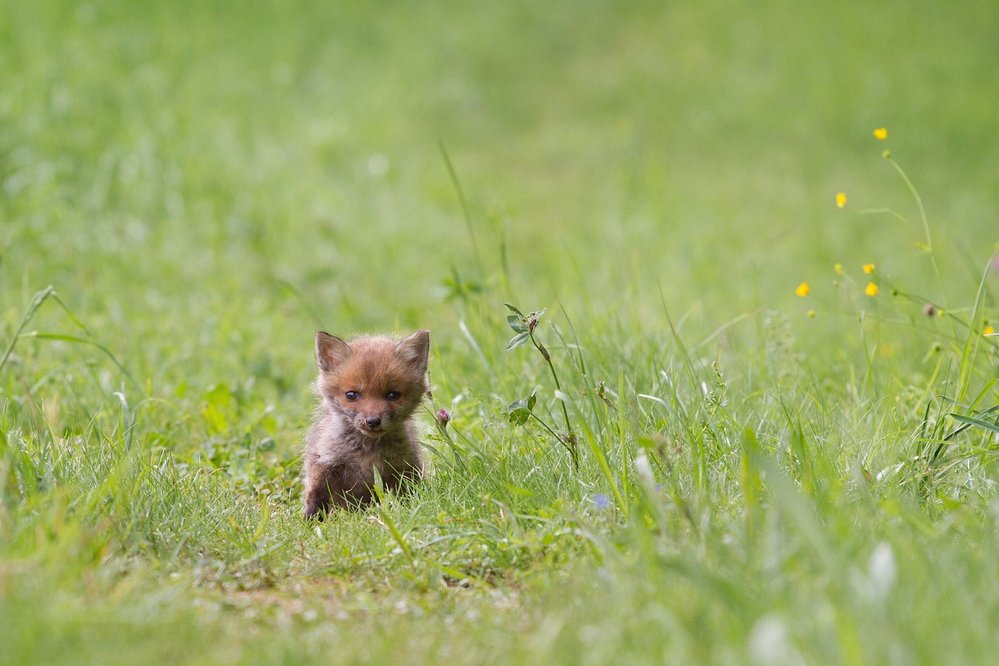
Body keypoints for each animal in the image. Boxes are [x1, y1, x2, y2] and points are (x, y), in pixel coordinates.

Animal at [302, 328, 432, 520]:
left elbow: (403, 497)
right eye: (351, 395)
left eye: (393, 395)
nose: (372, 421)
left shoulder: (402, 468)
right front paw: (309, 521)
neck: (366, 452)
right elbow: (316, 496)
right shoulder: (324, 463)